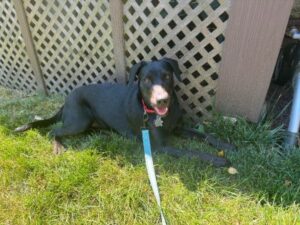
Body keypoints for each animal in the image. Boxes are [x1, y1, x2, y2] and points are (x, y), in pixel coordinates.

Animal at [15, 58, 233, 167]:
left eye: (167, 76)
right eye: (146, 80)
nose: (162, 100)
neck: (157, 114)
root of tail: (67, 99)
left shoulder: (178, 127)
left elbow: (205, 136)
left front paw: (226, 146)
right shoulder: (161, 146)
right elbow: (192, 152)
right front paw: (219, 159)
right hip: (79, 120)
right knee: (55, 131)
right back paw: (58, 146)